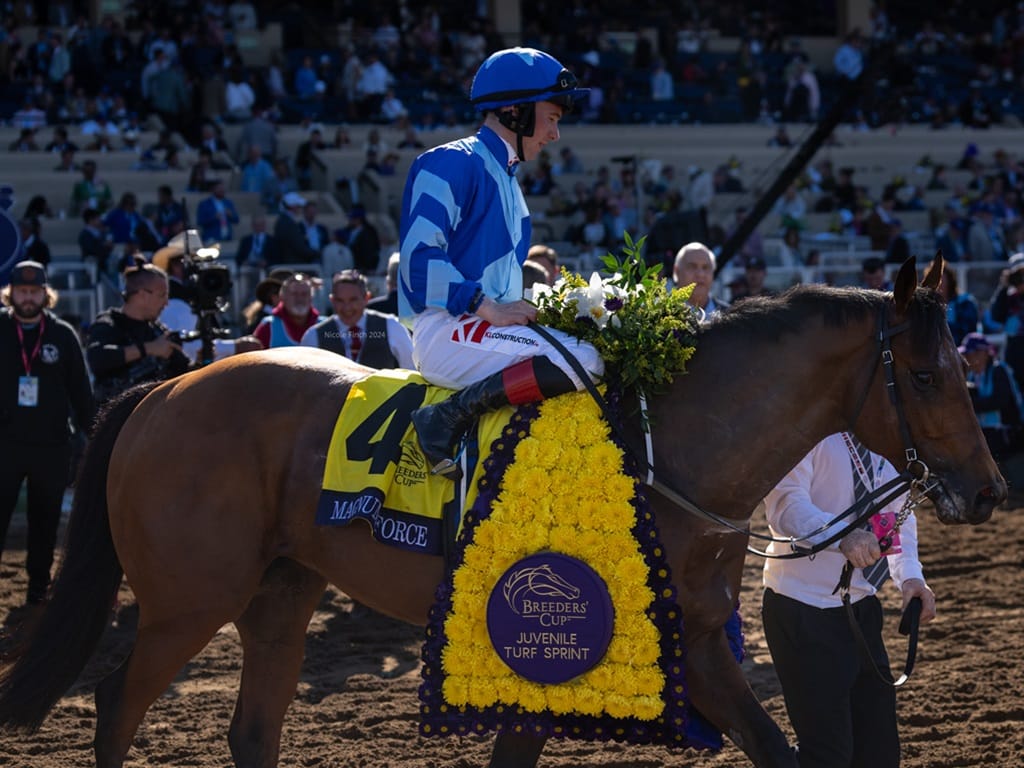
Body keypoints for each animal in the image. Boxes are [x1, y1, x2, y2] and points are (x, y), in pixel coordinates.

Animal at [0, 256, 1003, 765]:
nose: (988, 489)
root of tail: (163, 391)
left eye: (962, 366)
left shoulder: (694, 638)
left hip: (281, 592)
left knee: (251, 731)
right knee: (114, 708)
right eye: (923, 375)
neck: (665, 444)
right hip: (188, 600)